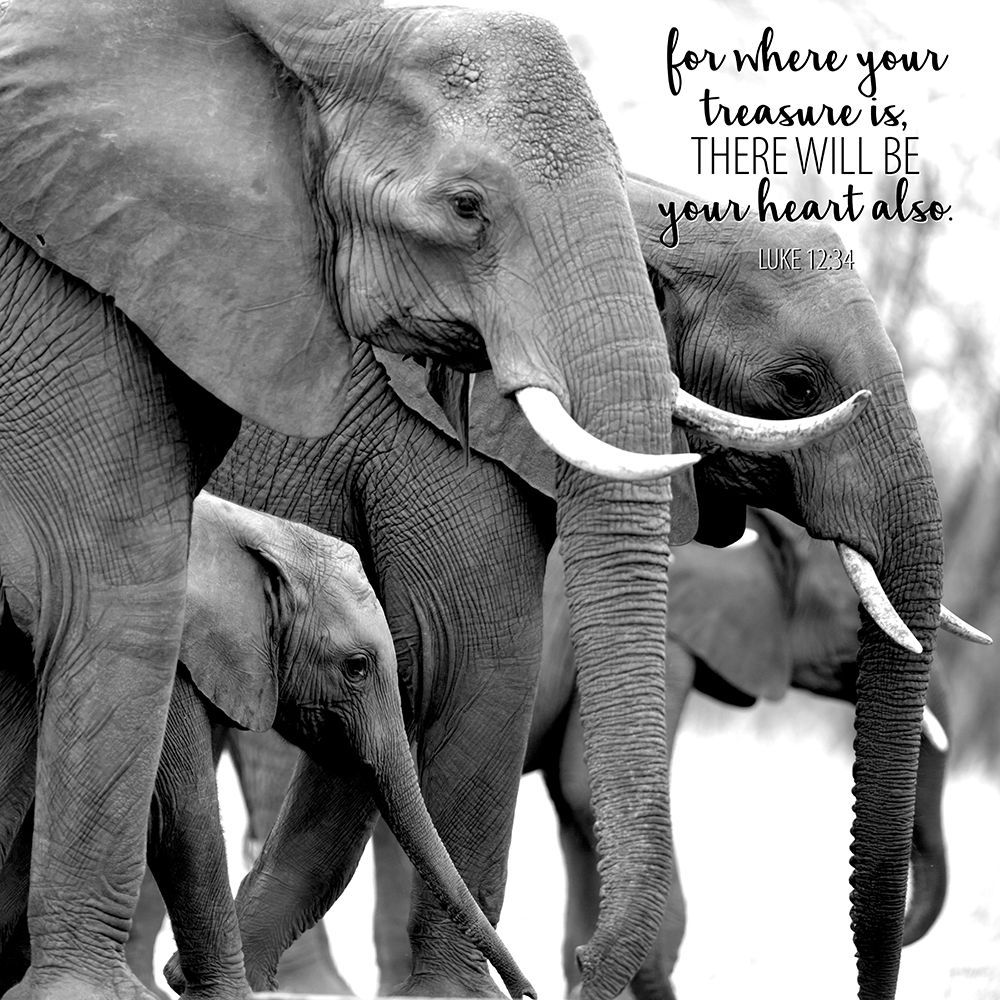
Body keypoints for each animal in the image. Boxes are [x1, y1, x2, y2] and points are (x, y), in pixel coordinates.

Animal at [0, 493, 531, 998]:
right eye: (357, 667)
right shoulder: (166, 643)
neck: (257, 531)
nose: (528, 993)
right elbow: (183, 804)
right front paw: (221, 993)